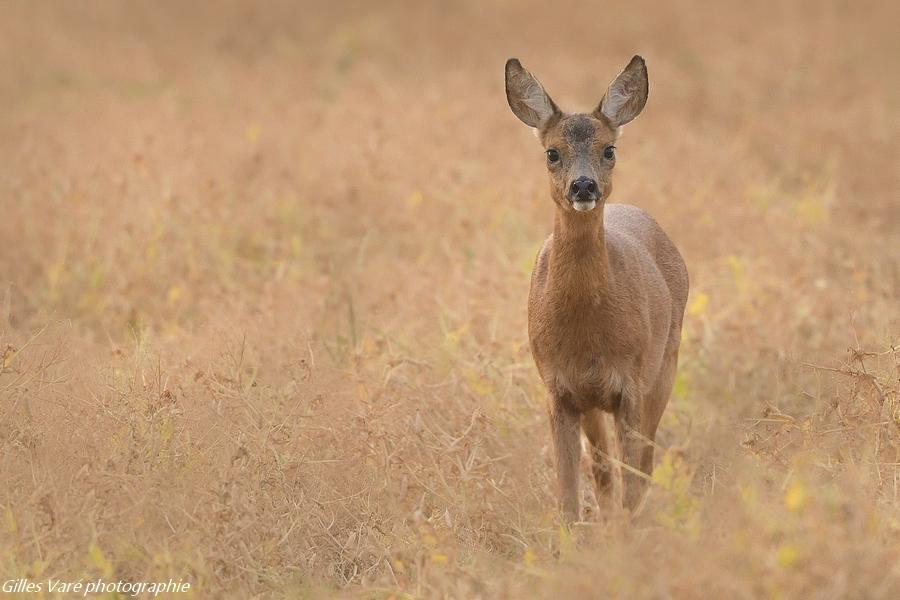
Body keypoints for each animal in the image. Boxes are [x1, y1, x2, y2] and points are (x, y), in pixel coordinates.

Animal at [506, 55, 688, 520]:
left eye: (609, 150)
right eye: (552, 152)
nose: (583, 185)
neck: (586, 334)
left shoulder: (631, 384)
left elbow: (631, 478)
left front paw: (624, 532)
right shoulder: (559, 389)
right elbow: (571, 490)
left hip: (666, 363)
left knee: (643, 465)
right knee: (603, 468)